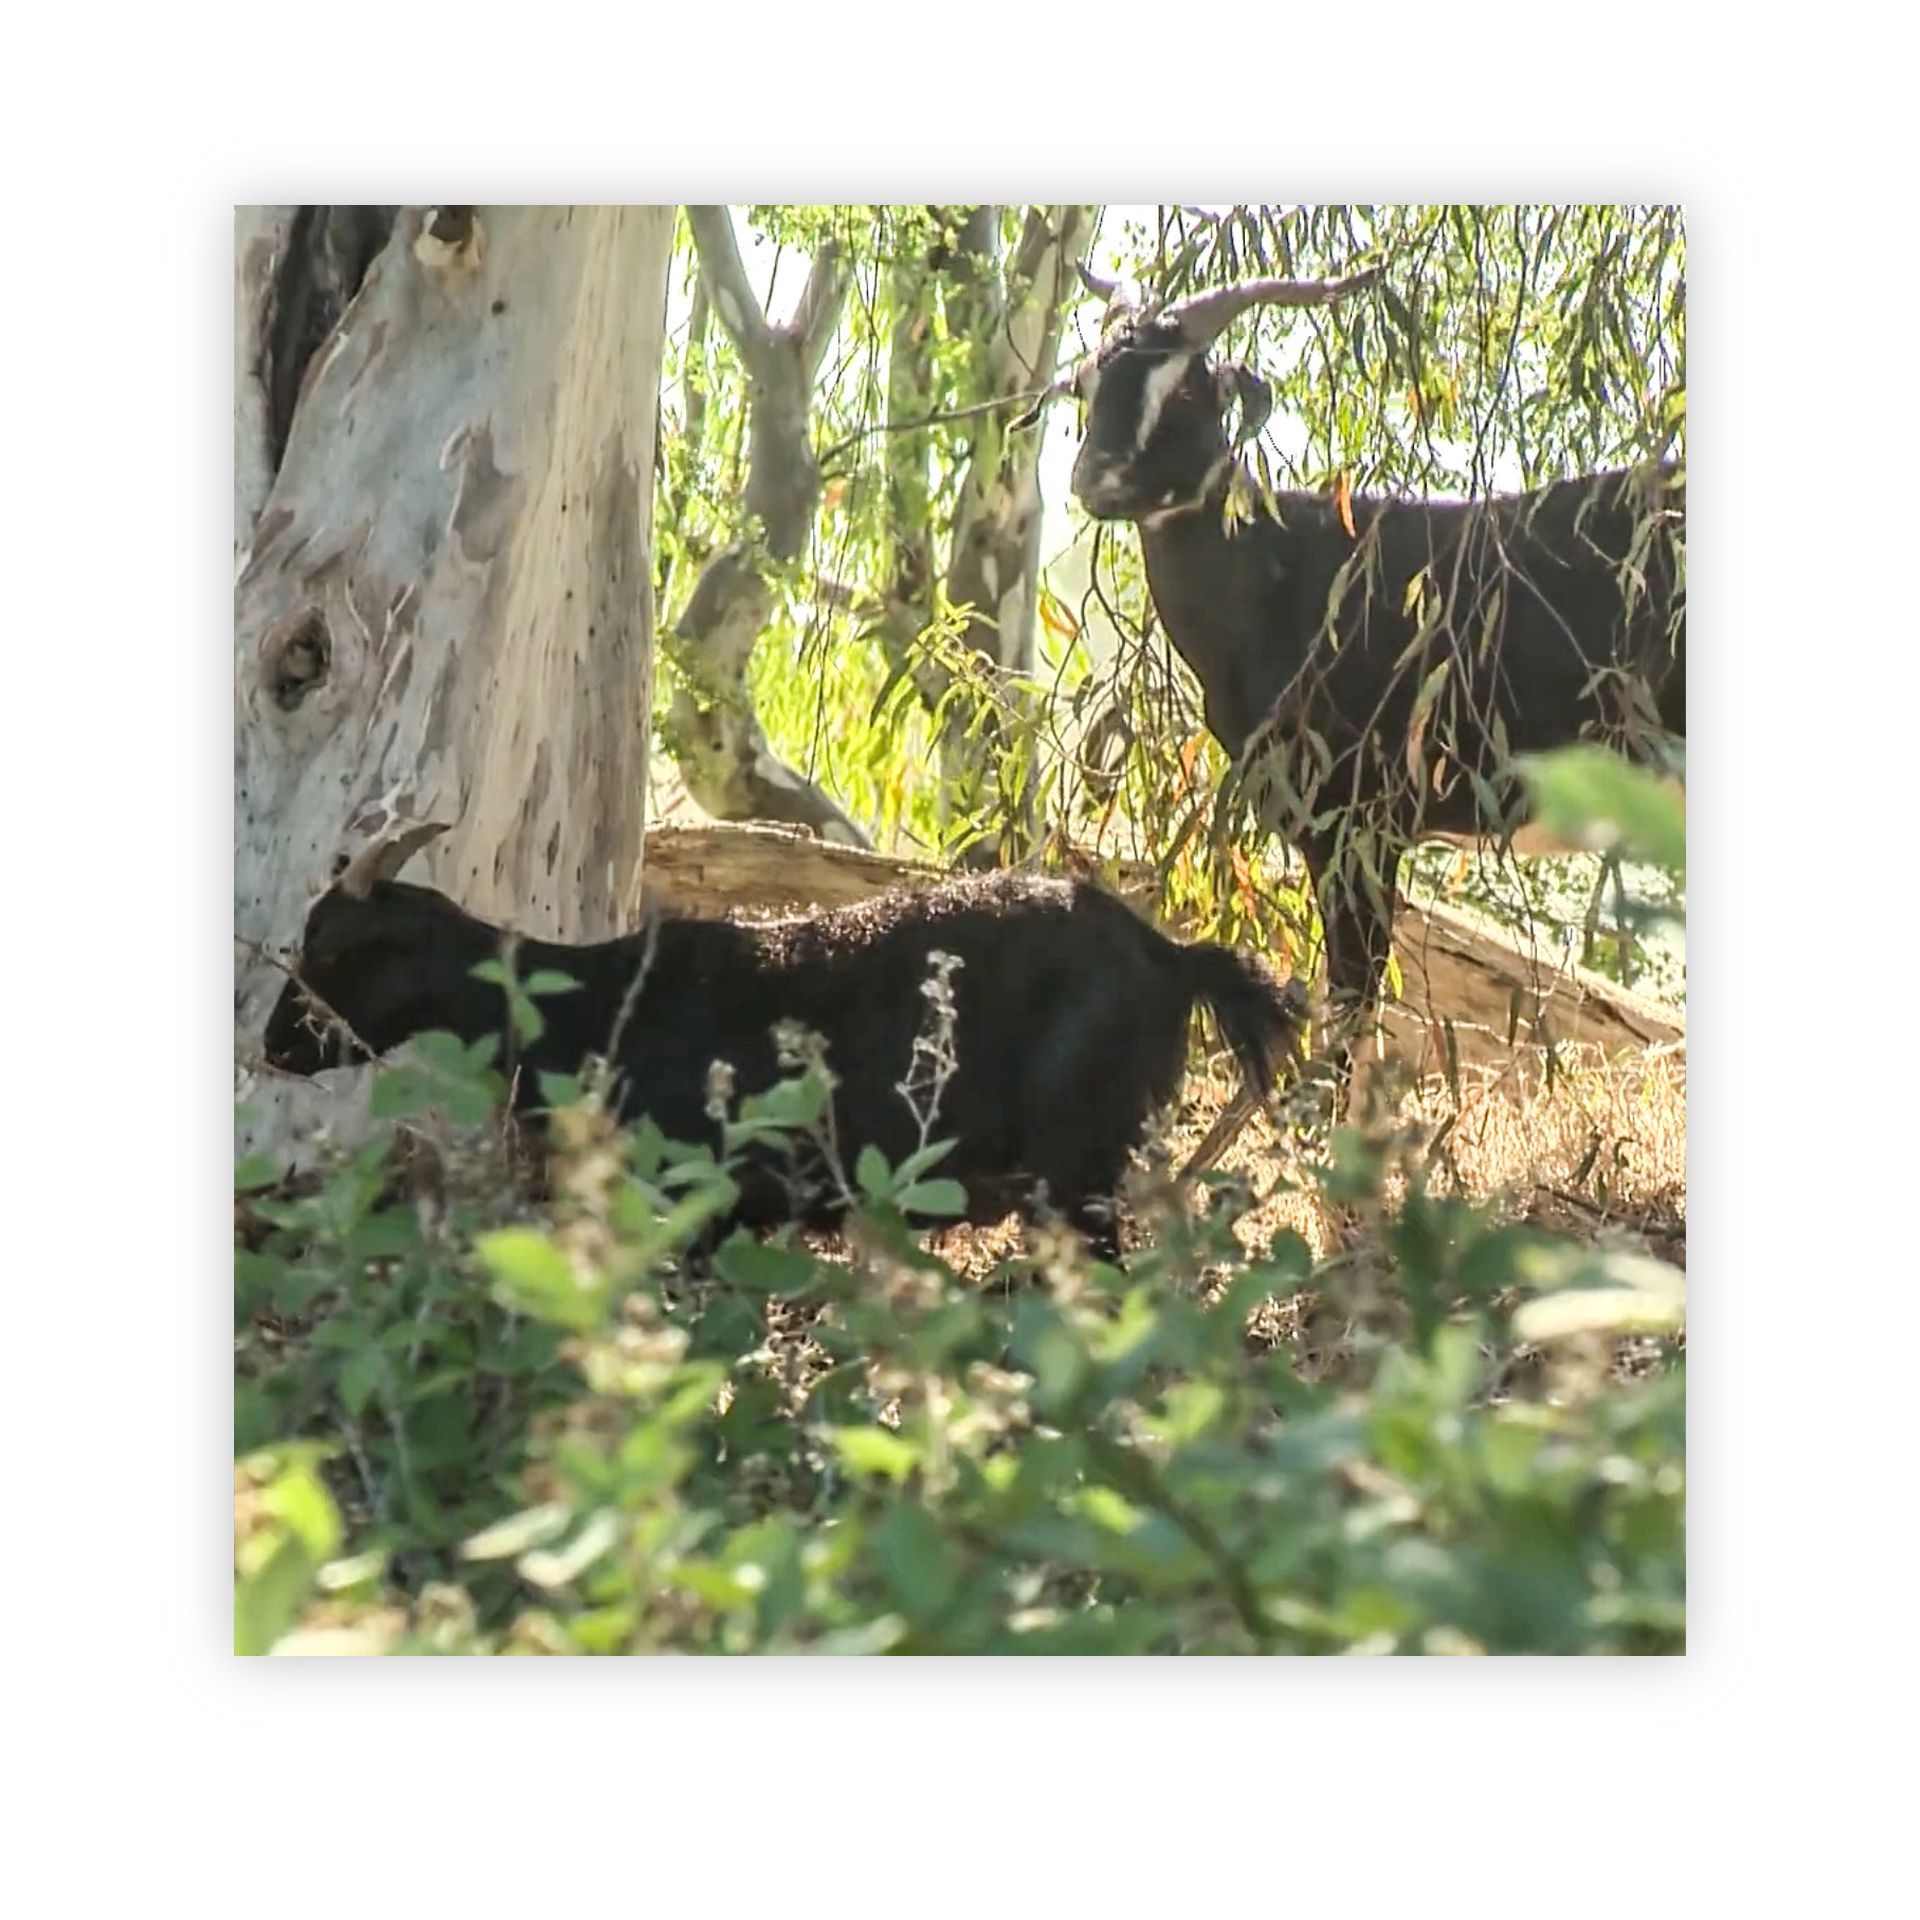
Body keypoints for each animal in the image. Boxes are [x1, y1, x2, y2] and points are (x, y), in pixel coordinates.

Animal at [261, 826, 1304, 1260]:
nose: (274, 1046)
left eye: (334, 948)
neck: (593, 1006)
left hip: (1076, 1165)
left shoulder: (695, 1200)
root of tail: (1171, 955)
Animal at [1021, 269, 1685, 1057]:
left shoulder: (1360, 823)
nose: (1098, 478)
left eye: (1183, 390)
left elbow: (1350, 1009)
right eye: (1087, 382)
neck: (1284, 579)